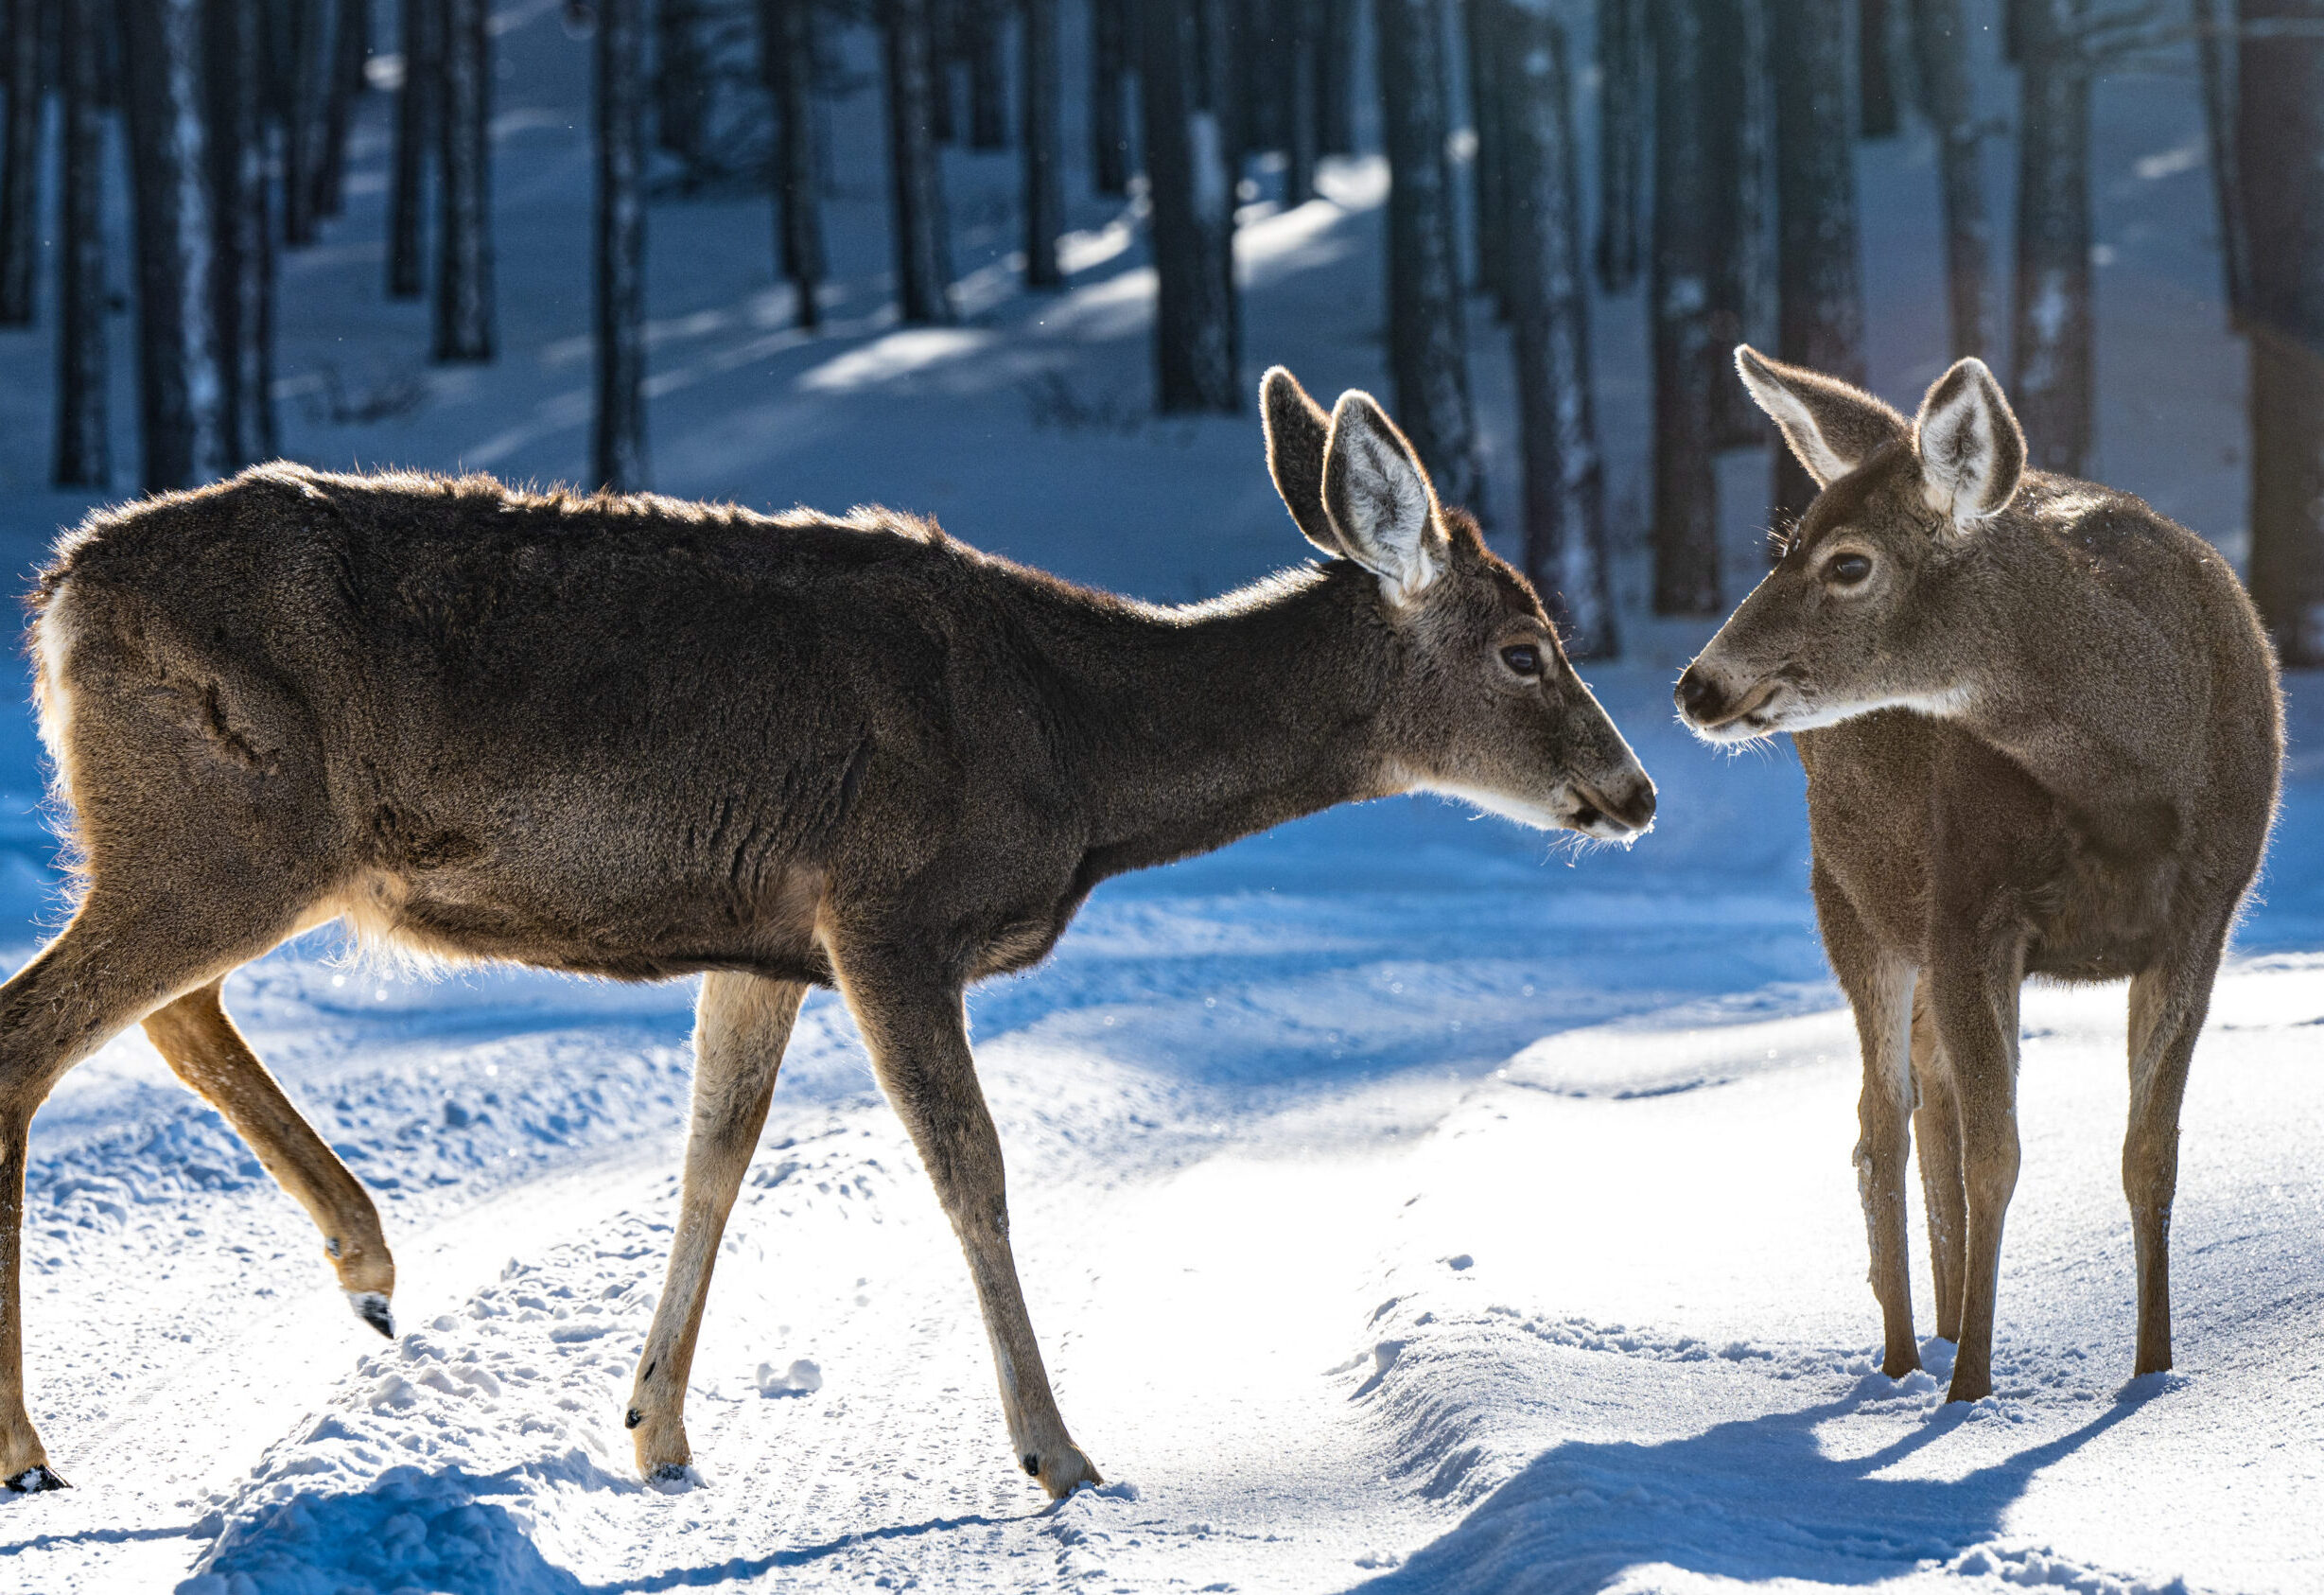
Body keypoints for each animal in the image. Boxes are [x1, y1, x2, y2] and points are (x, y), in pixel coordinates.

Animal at [0, 368, 1654, 1496]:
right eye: (1527, 648)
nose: (1634, 789)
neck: (1077, 756)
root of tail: (61, 588)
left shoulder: (765, 937)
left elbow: (713, 1158)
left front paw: (656, 1426)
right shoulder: (886, 905)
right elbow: (971, 1169)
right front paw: (1059, 1453)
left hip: (215, 839)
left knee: (168, 1015)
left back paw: (366, 1260)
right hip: (228, 826)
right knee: (40, 1029)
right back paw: (34, 1436)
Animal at [1677, 347, 2281, 1403]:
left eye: (1848, 562)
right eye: (1784, 543)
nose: (1697, 684)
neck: (2137, 784)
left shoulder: (2205, 921)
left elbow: (2149, 1156)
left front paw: (2152, 1374)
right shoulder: (1968, 906)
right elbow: (1995, 1154)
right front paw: (1970, 1397)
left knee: (1928, 1096)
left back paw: (1952, 1325)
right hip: (1853, 895)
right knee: (1884, 1117)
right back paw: (1907, 1360)